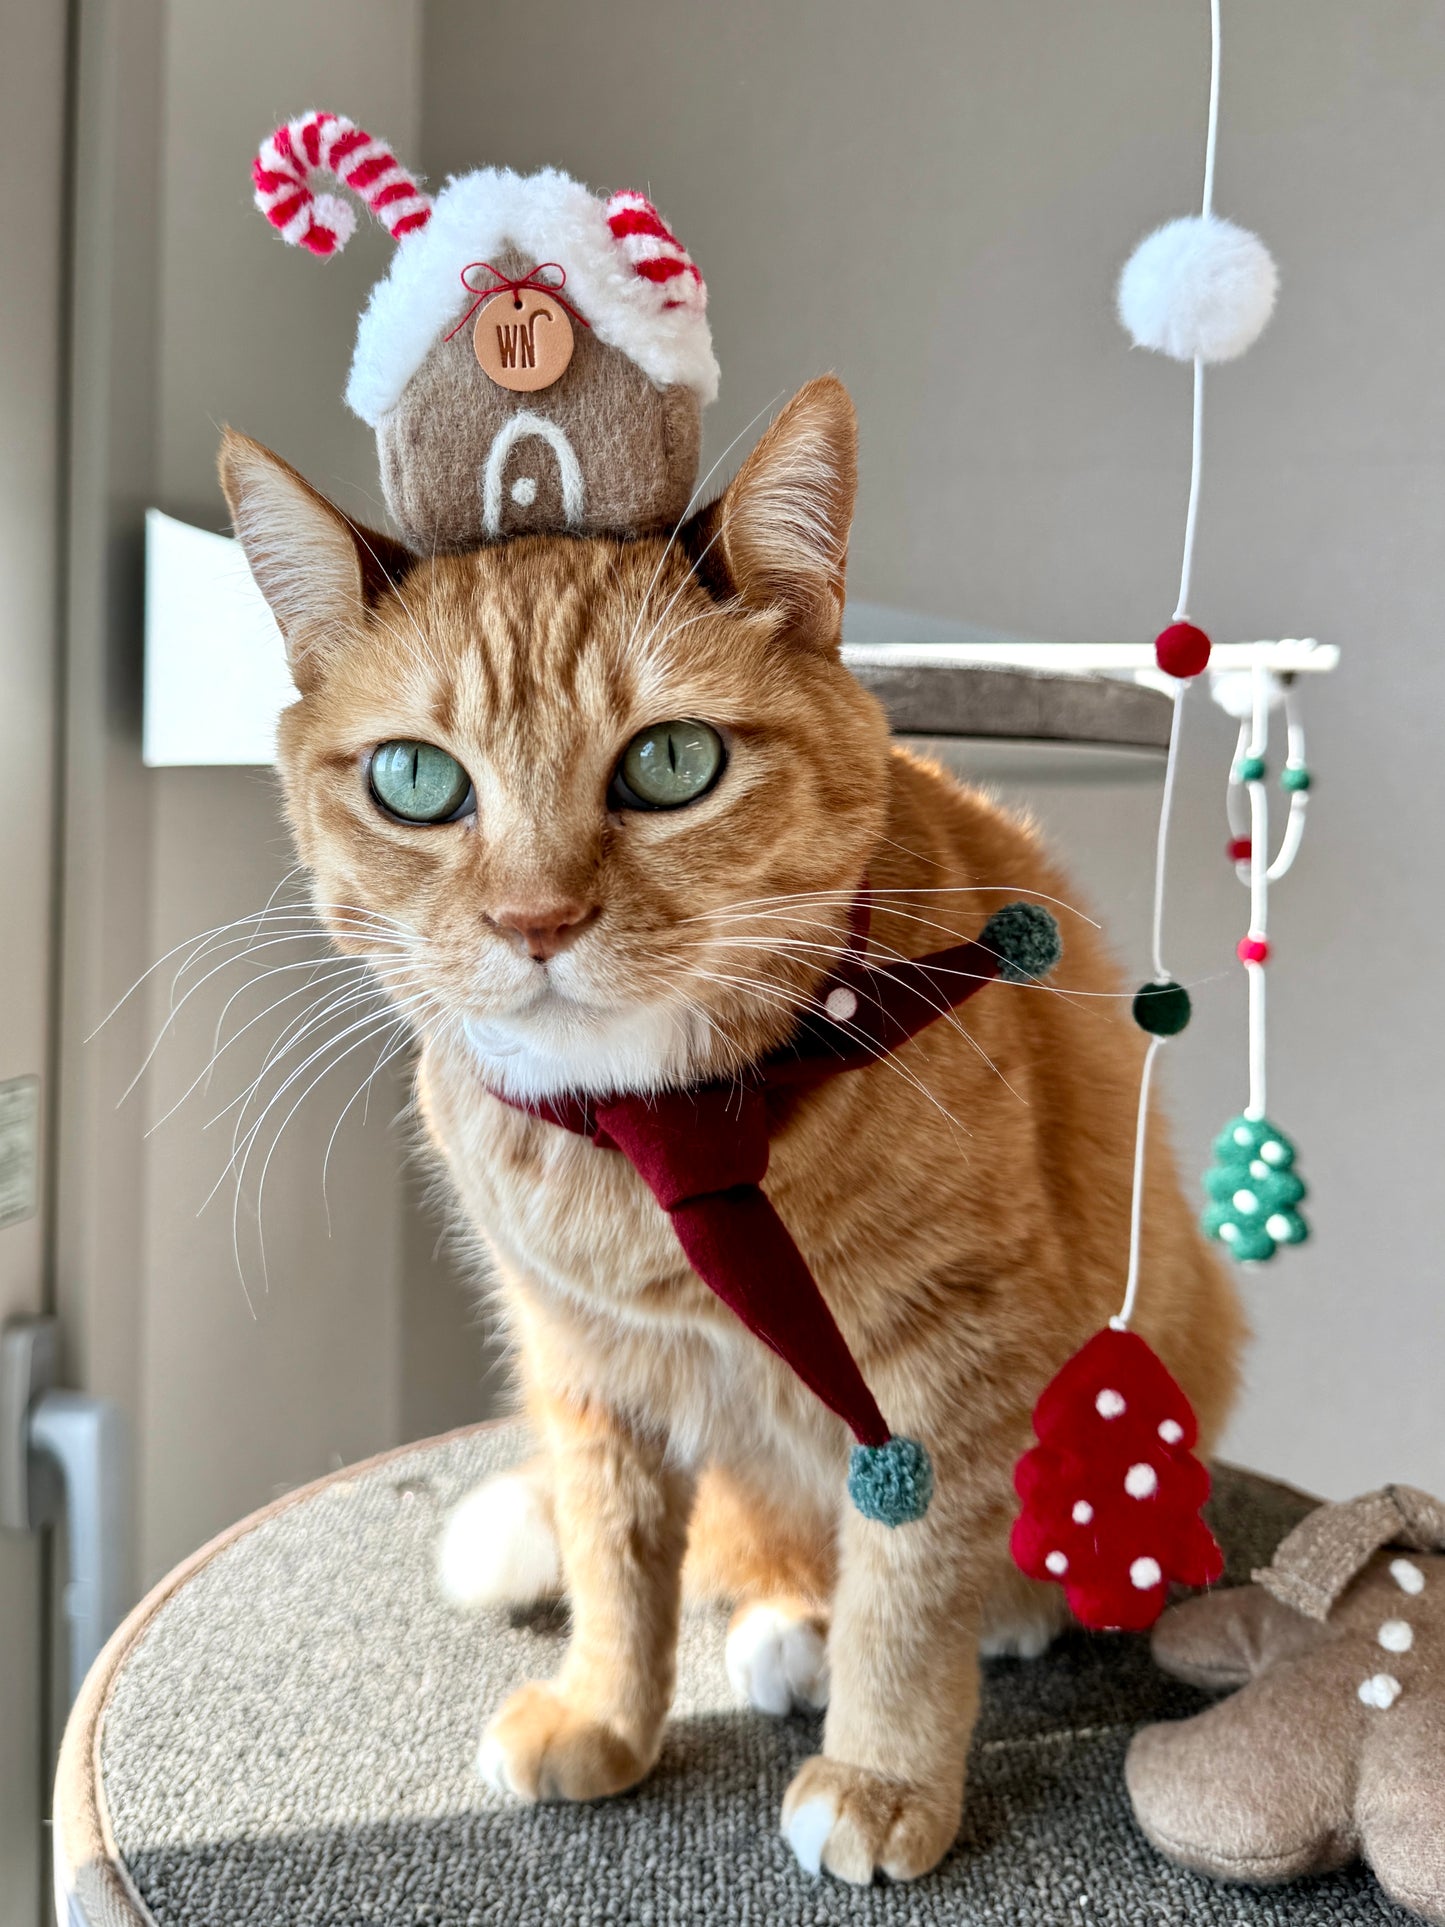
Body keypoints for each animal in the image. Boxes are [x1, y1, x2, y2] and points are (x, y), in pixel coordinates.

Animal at [223, 383, 1248, 1888]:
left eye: (670, 761)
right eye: (416, 780)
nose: (534, 920)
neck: (660, 1136)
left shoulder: (951, 1353)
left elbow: (907, 1586)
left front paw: (882, 1774)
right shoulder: (585, 1360)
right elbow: (617, 1558)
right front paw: (607, 1711)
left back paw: (986, 1609)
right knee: (743, 1541)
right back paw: (783, 1619)